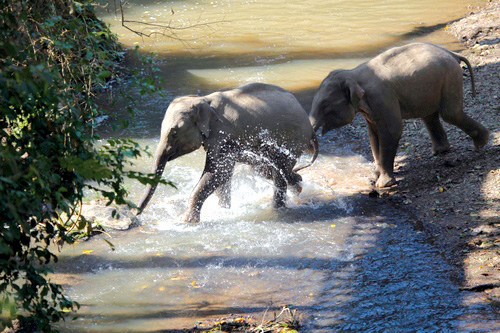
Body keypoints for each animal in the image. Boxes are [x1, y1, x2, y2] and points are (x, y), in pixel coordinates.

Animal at [135, 81, 318, 222]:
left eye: (174, 133)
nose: (134, 215)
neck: (203, 100)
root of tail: (310, 127)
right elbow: (223, 175)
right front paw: (224, 210)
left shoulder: (223, 135)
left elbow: (217, 172)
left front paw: (186, 221)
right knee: (269, 169)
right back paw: (298, 186)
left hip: (294, 138)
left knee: (279, 171)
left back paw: (277, 209)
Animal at [308, 42, 488, 187]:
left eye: (325, 104)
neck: (353, 73)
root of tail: (452, 53)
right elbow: (373, 135)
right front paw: (374, 177)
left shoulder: (382, 98)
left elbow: (391, 131)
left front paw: (383, 184)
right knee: (429, 115)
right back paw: (441, 151)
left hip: (449, 77)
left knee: (450, 114)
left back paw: (482, 143)